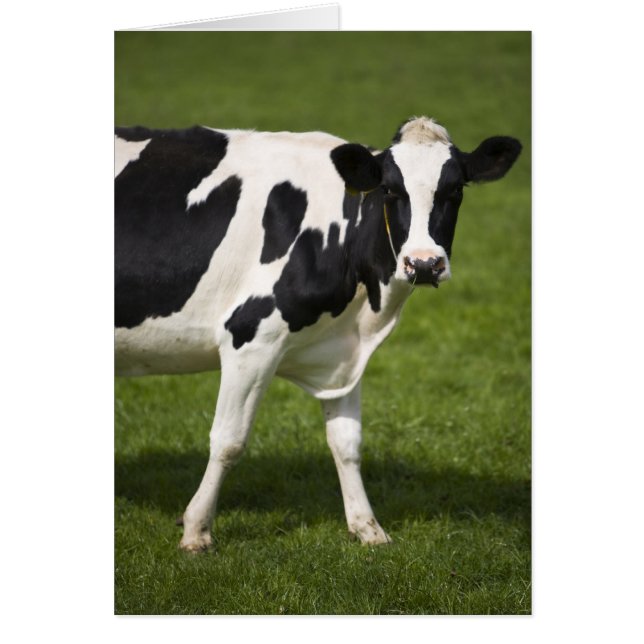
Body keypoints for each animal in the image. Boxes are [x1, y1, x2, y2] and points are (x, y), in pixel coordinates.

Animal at [114, 116, 521, 552]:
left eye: (455, 190)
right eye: (391, 190)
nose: (425, 264)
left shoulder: (342, 353)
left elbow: (347, 443)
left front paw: (368, 528)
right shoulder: (250, 338)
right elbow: (228, 440)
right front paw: (196, 531)